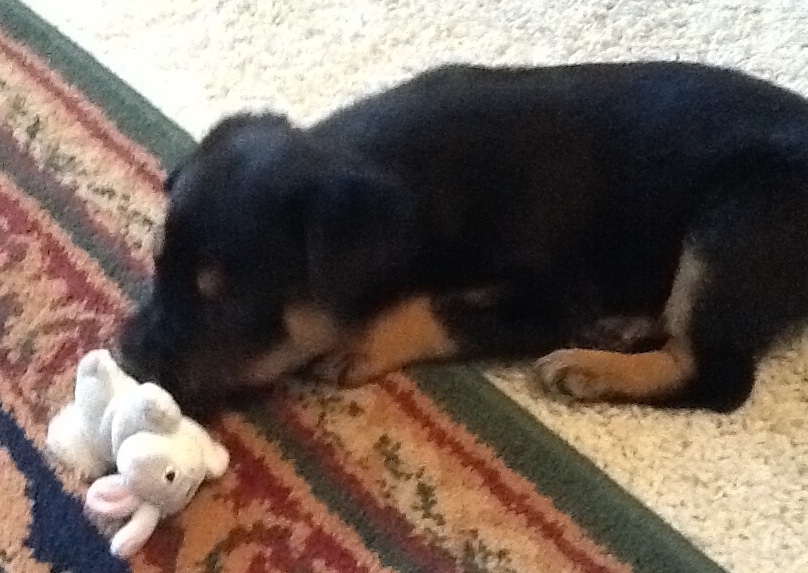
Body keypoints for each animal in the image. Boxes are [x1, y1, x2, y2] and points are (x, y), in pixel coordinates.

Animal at [117, 61, 808, 412]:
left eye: (227, 301)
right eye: (156, 266)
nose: (125, 359)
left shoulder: (552, 300)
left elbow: (437, 309)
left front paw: (358, 345)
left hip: (738, 218)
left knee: (722, 377)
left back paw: (590, 369)